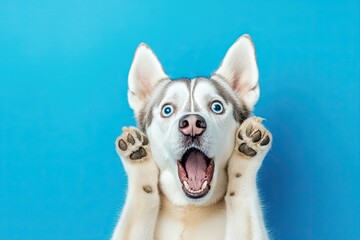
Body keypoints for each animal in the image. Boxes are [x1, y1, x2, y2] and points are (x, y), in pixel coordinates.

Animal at [112, 34, 272, 240]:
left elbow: (242, 194)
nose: (192, 124)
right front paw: (138, 158)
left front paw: (247, 152)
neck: (190, 209)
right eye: (167, 110)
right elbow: (141, 199)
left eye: (217, 107)